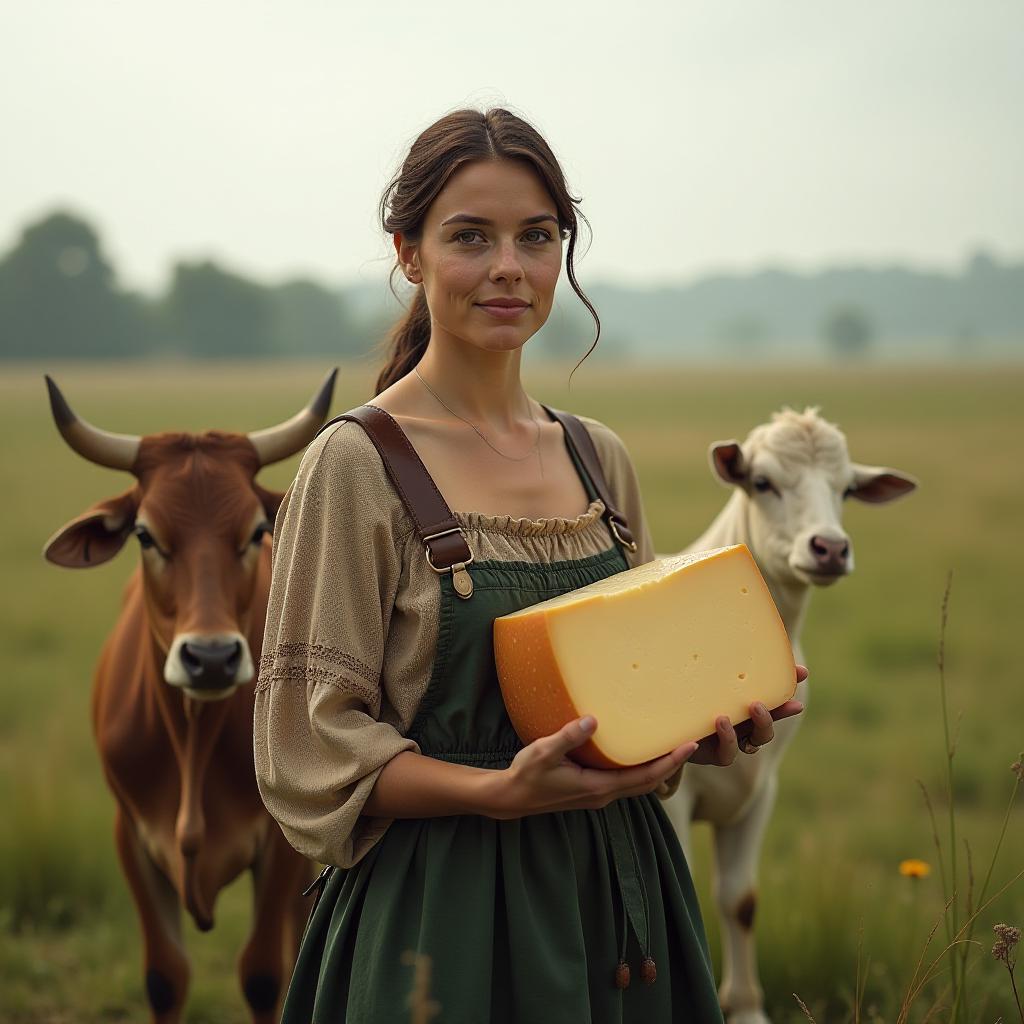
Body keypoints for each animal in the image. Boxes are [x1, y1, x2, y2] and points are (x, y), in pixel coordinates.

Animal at [44, 372, 333, 1019]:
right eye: (145, 535)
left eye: (255, 532)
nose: (211, 657)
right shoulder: (132, 837)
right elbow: (165, 977)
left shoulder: (279, 850)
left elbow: (264, 974)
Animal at [659, 407, 917, 1024]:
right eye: (762, 482)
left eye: (847, 489)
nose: (829, 548)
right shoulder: (674, 797)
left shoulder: (763, 789)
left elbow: (740, 900)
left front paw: (747, 1008)